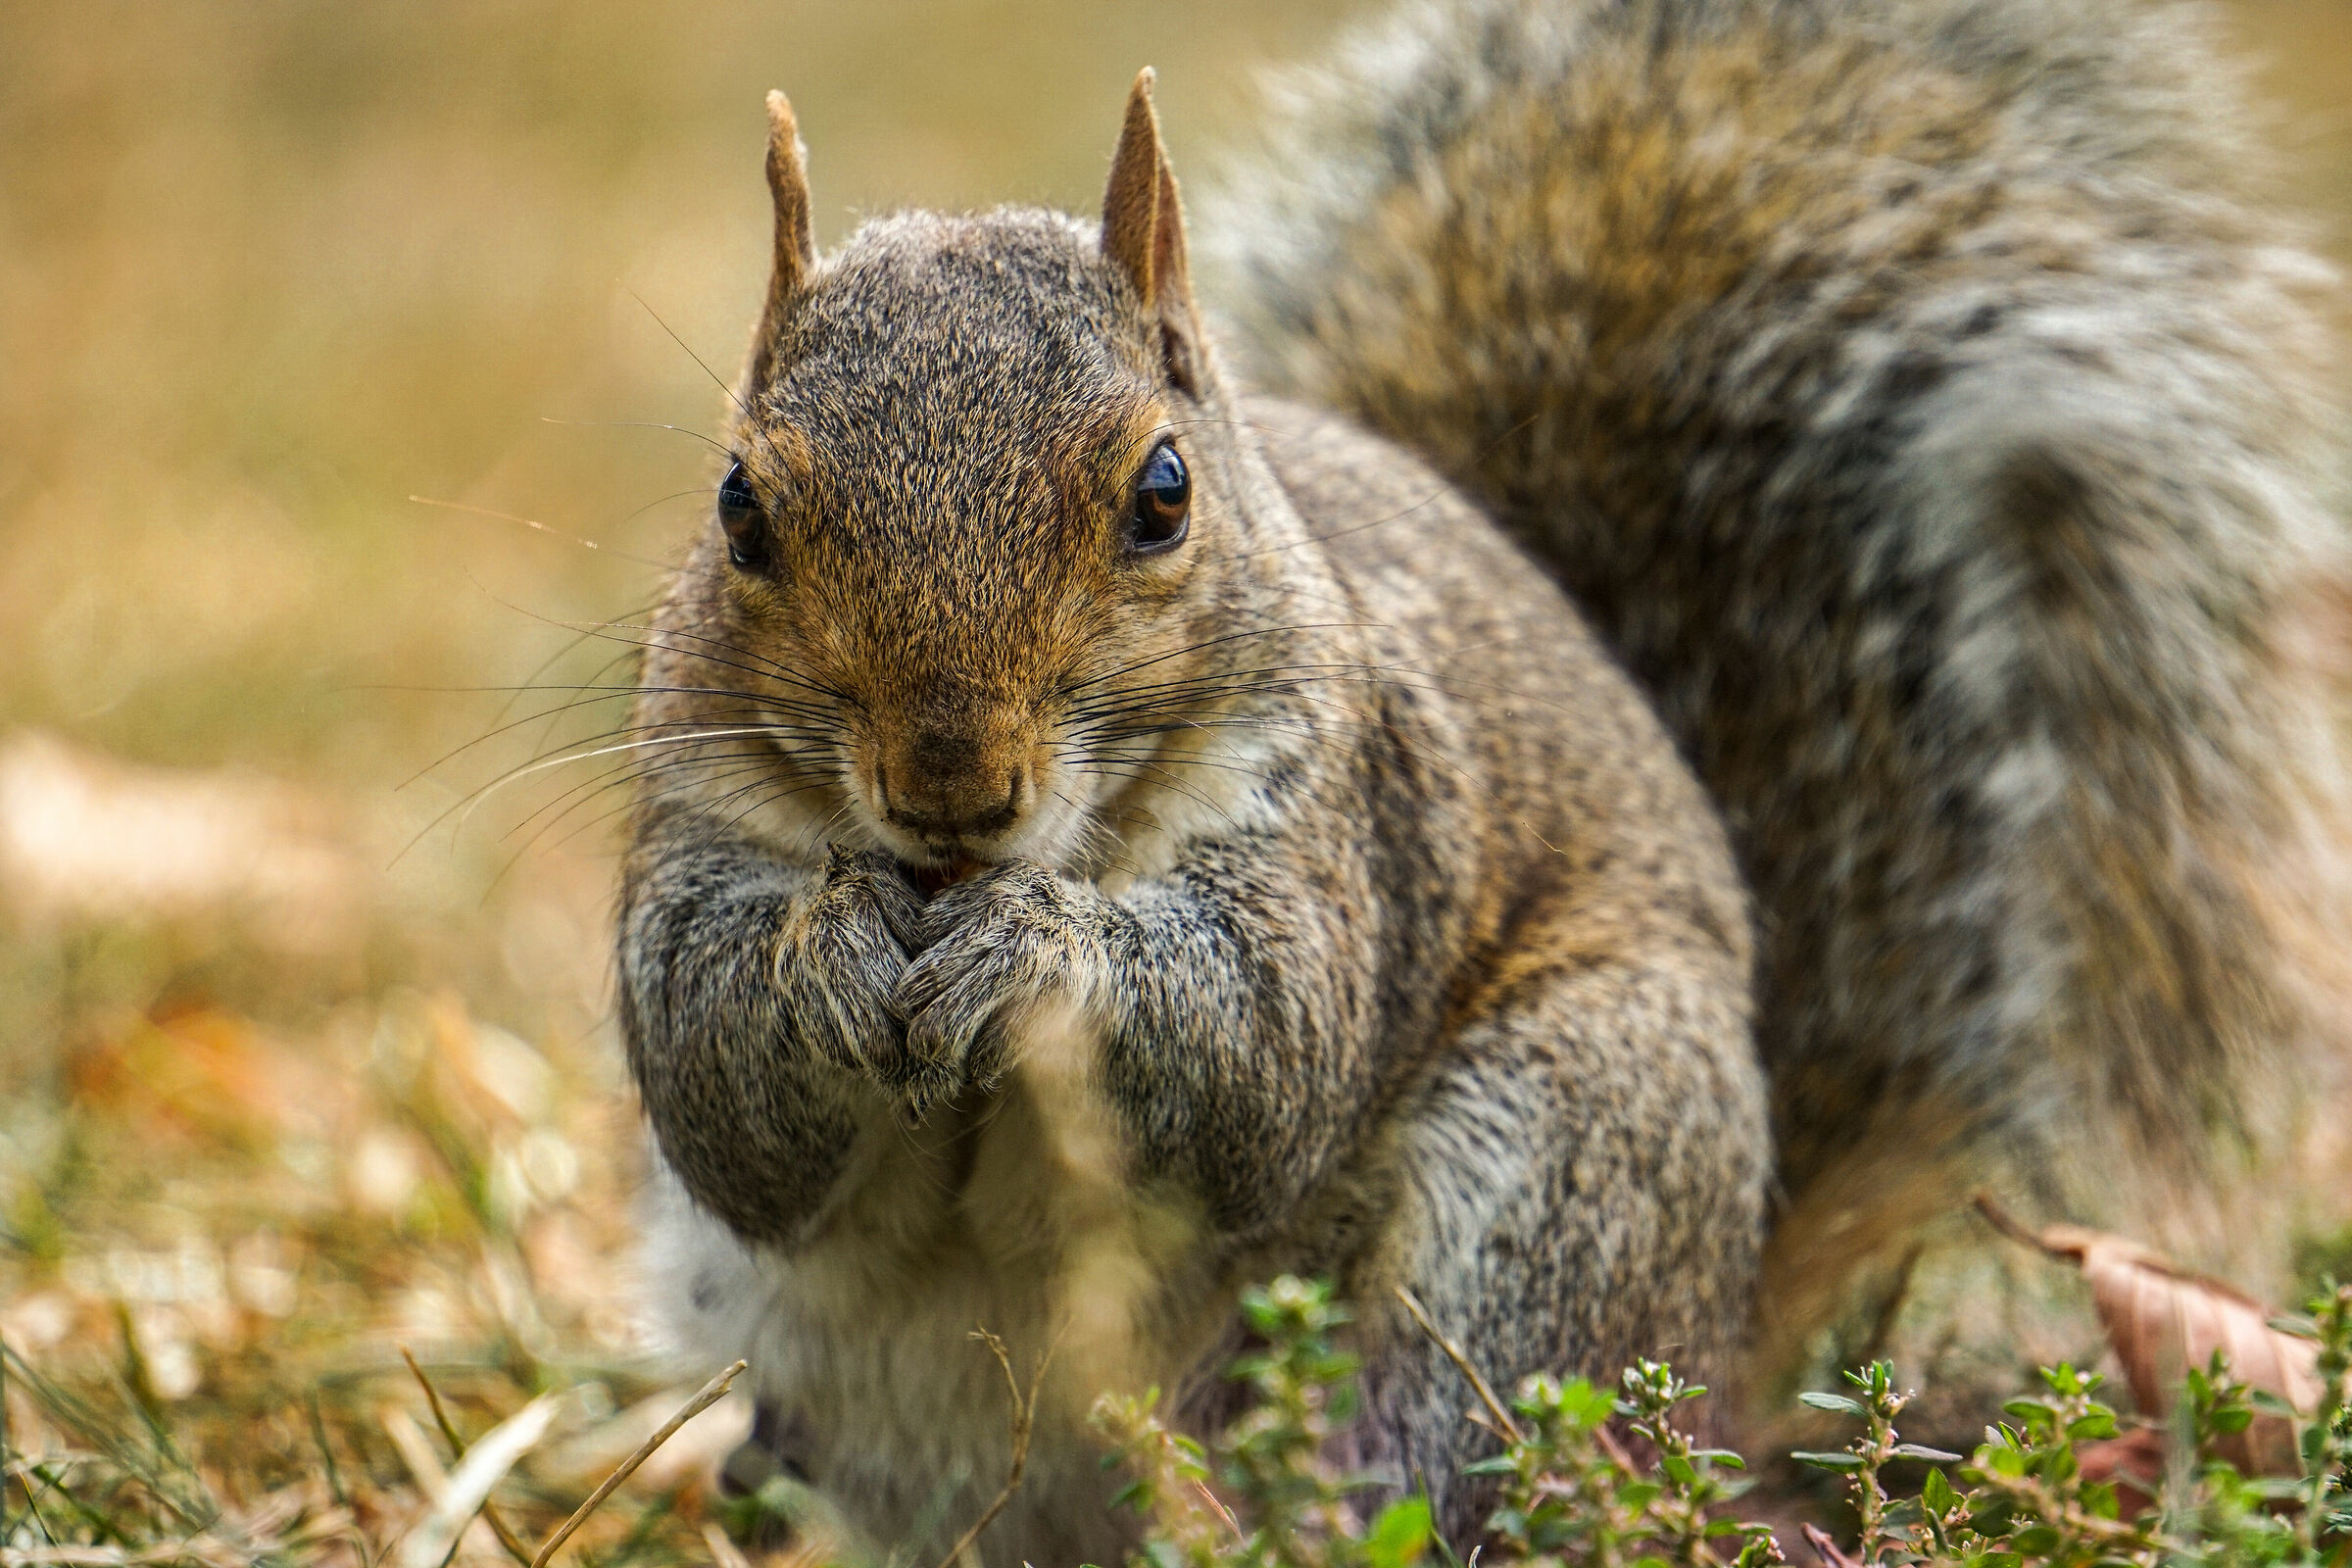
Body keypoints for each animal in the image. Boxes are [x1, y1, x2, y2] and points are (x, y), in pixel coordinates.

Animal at [616, 0, 2347, 1559]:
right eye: (739, 508)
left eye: (1163, 493)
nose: (950, 786)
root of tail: (1721, 1352)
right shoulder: (689, 828)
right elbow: (713, 1072)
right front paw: (824, 954)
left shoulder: (1351, 814)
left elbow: (1258, 1057)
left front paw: (1033, 956)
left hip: (1561, 1178)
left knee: (1453, 1470)